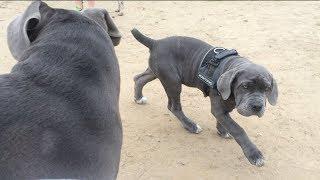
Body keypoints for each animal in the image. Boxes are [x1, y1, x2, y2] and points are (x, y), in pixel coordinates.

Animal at [132, 28, 278, 167]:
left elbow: (225, 120)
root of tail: (156, 42)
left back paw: (139, 98)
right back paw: (190, 126)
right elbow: (237, 128)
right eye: (245, 86)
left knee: (139, 78)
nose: (257, 106)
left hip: (156, 72)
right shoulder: (219, 108)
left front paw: (222, 131)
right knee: (173, 107)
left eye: (267, 88)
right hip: (173, 81)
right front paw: (254, 154)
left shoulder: (226, 105)